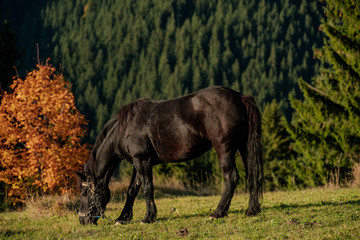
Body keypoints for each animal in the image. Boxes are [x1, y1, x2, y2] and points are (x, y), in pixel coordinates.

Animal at [77, 86, 262, 225]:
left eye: (84, 193)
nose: (83, 220)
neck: (125, 128)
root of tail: (240, 98)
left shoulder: (142, 161)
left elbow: (147, 188)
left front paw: (148, 217)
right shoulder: (138, 163)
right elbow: (132, 190)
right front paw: (123, 218)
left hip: (225, 149)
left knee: (231, 178)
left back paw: (217, 213)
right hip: (243, 147)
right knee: (252, 174)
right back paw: (251, 210)